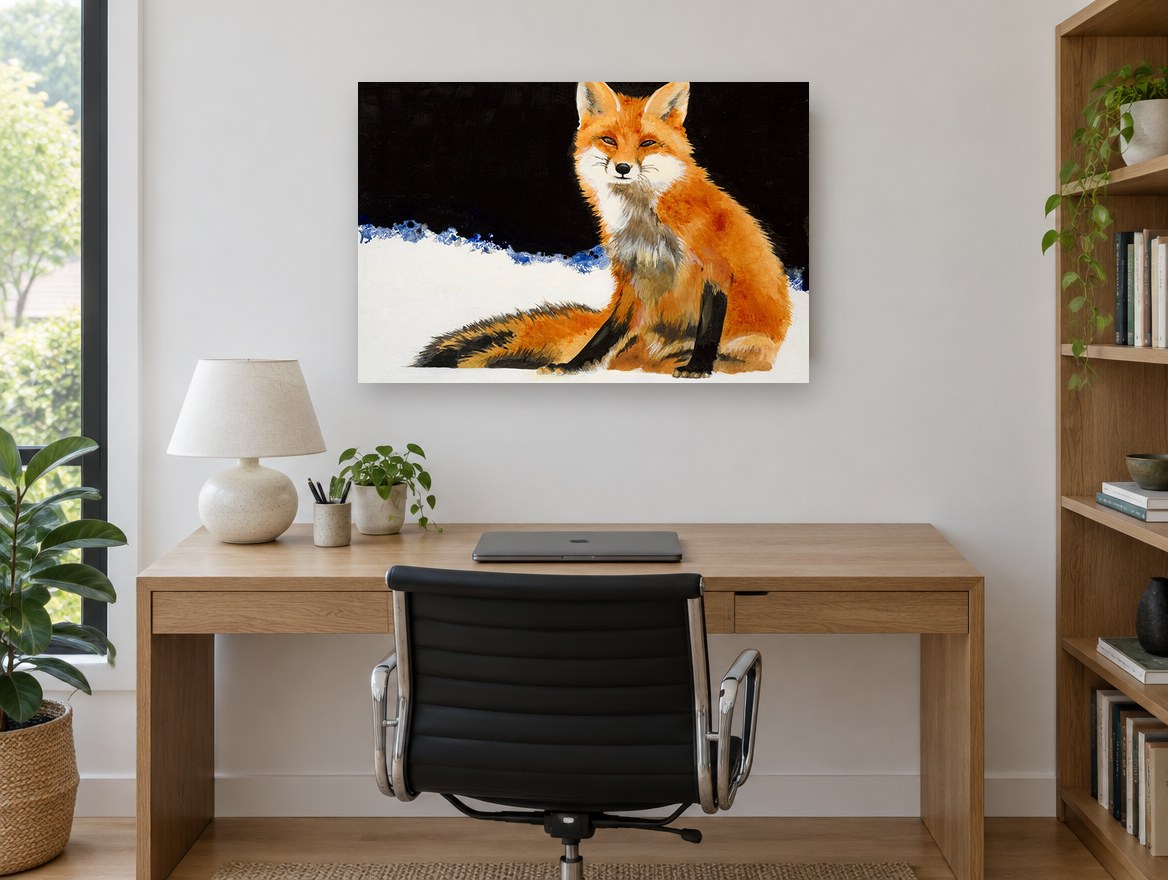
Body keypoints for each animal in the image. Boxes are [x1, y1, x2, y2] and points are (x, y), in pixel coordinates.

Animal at [413, 81, 793, 378]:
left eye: (647, 143)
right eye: (609, 140)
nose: (623, 167)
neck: (645, 226)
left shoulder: (714, 268)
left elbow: (708, 329)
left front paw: (698, 366)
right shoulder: (630, 278)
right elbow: (605, 334)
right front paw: (574, 365)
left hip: (752, 346)